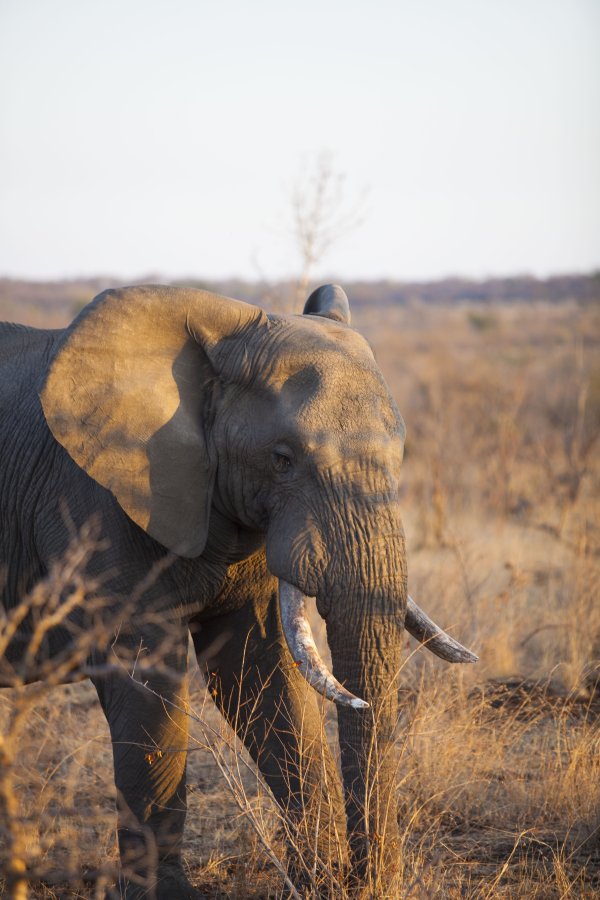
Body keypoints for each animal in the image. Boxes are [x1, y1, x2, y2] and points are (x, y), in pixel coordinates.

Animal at [0, 283, 477, 898]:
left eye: (401, 456)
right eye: (283, 459)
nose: (365, 883)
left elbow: (259, 674)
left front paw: (318, 882)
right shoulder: (92, 503)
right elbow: (146, 688)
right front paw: (170, 896)